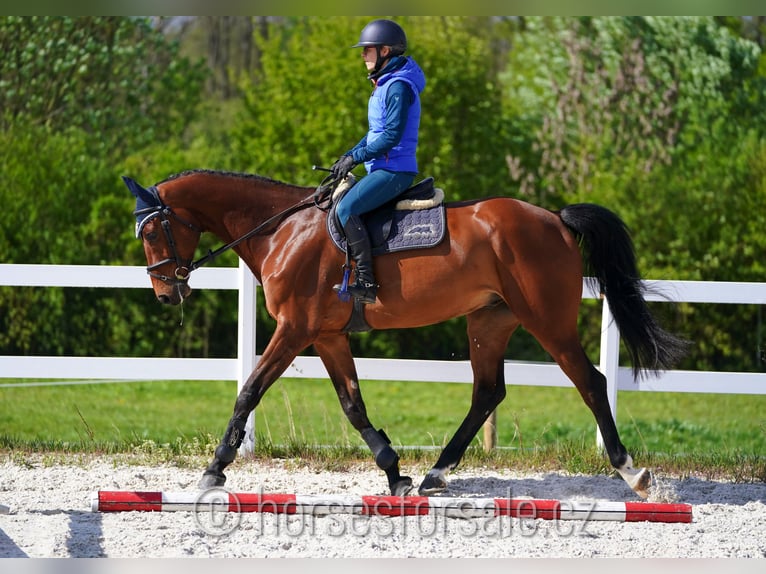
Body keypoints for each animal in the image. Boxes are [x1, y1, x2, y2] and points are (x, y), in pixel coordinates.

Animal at [124, 170, 688, 500]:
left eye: (152, 231)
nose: (166, 294)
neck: (281, 231)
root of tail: (555, 218)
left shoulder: (294, 330)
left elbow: (249, 390)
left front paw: (215, 467)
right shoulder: (327, 336)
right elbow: (353, 405)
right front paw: (394, 472)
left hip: (547, 320)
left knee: (591, 382)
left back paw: (632, 473)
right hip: (489, 322)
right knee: (487, 393)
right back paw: (436, 474)